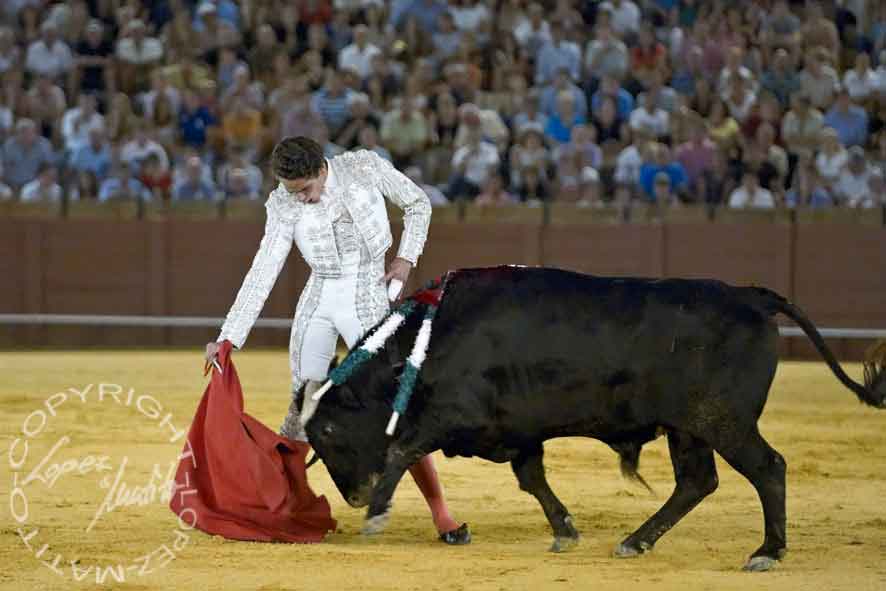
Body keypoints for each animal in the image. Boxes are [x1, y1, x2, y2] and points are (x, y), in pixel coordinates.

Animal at [302, 266, 884, 572]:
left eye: (327, 430)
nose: (353, 496)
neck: (430, 339)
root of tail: (751, 296)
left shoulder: (455, 415)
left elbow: (404, 448)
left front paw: (376, 513)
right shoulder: (520, 432)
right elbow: (532, 479)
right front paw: (564, 529)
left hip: (724, 420)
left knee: (768, 468)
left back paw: (767, 551)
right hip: (688, 427)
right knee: (697, 481)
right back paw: (636, 541)